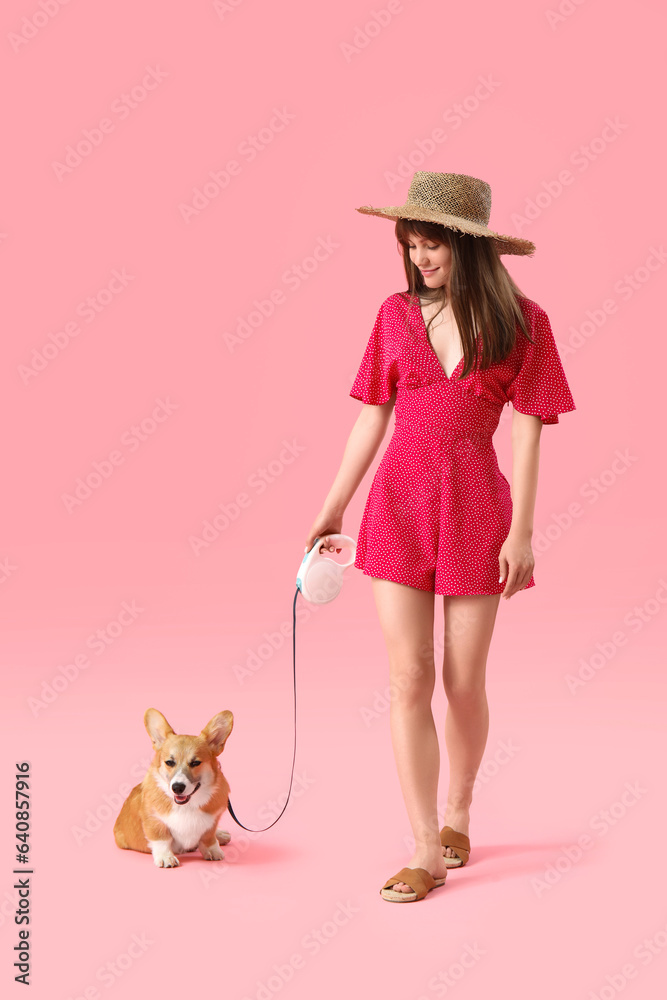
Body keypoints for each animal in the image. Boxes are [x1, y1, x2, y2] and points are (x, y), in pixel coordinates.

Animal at [112, 704, 232, 868]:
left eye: (195, 763)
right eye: (169, 762)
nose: (177, 787)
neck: (187, 806)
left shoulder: (212, 821)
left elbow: (208, 837)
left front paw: (213, 850)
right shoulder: (154, 821)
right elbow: (162, 838)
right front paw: (165, 857)